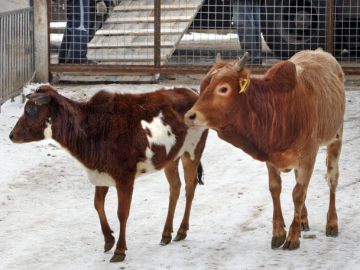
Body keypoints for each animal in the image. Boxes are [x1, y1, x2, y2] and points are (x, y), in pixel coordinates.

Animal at [9, 85, 208, 262]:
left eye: (31, 109)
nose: (11, 135)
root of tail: (191, 91)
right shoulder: (100, 172)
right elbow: (98, 204)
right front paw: (108, 239)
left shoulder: (125, 177)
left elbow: (122, 213)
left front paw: (120, 250)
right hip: (171, 157)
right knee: (175, 187)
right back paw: (166, 233)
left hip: (193, 150)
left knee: (190, 187)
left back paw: (181, 230)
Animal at [184, 49, 344, 250]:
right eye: (203, 85)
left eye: (223, 88)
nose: (190, 115)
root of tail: (320, 52)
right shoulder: (271, 157)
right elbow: (275, 189)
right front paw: (279, 233)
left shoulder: (308, 155)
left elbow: (298, 194)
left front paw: (292, 238)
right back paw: (303, 220)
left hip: (336, 139)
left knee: (332, 179)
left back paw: (332, 223)